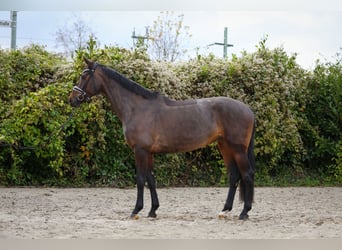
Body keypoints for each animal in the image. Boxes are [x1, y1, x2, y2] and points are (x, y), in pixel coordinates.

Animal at [69, 58, 255, 219]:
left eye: (84, 76)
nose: (72, 99)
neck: (137, 108)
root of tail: (248, 109)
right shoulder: (149, 152)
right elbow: (151, 179)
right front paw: (153, 210)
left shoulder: (140, 151)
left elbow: (140, 179)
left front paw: (136, 210)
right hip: (225, 146)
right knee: (234, 176)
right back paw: (225, 210)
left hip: (238, 149)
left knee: (247, 175)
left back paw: (244, 212)